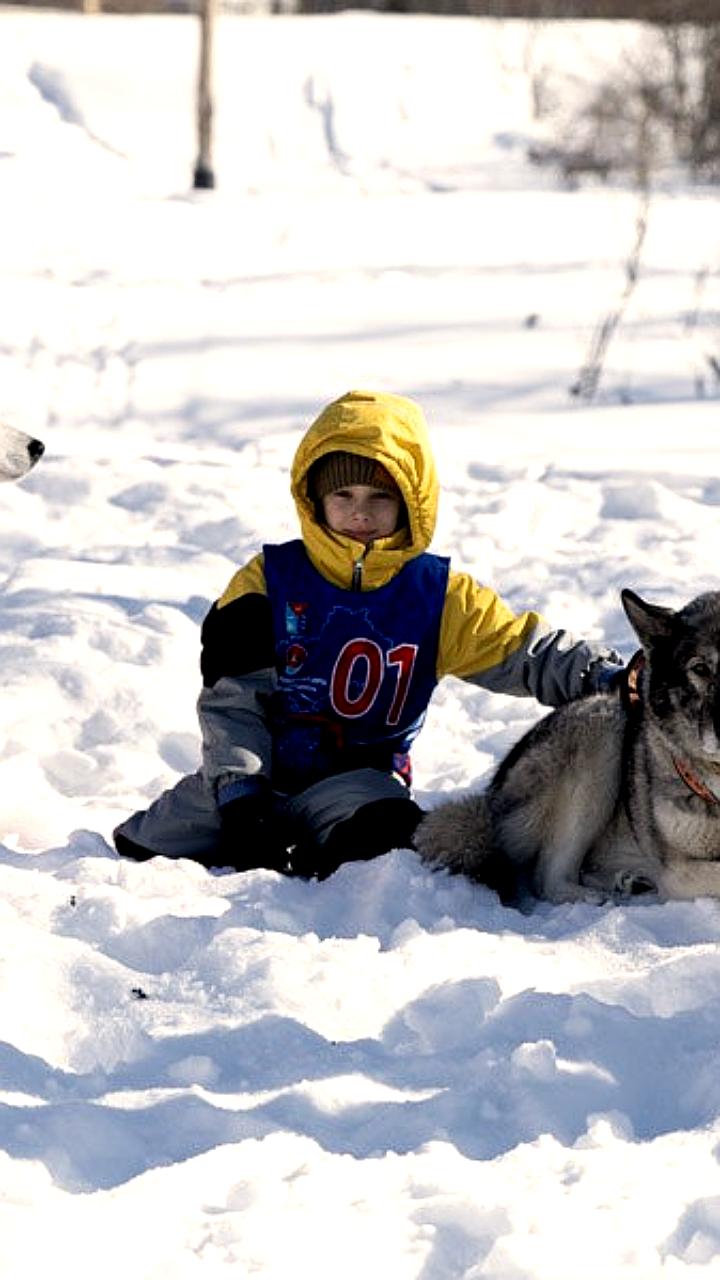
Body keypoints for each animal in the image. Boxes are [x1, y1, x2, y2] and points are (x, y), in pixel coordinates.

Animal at [415, 591, 720, 911]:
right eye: (700, 669)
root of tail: (491, 799)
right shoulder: (678, 873)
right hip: (600, 729)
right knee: (548, 878)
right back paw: (607, 898)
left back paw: (630, 881)